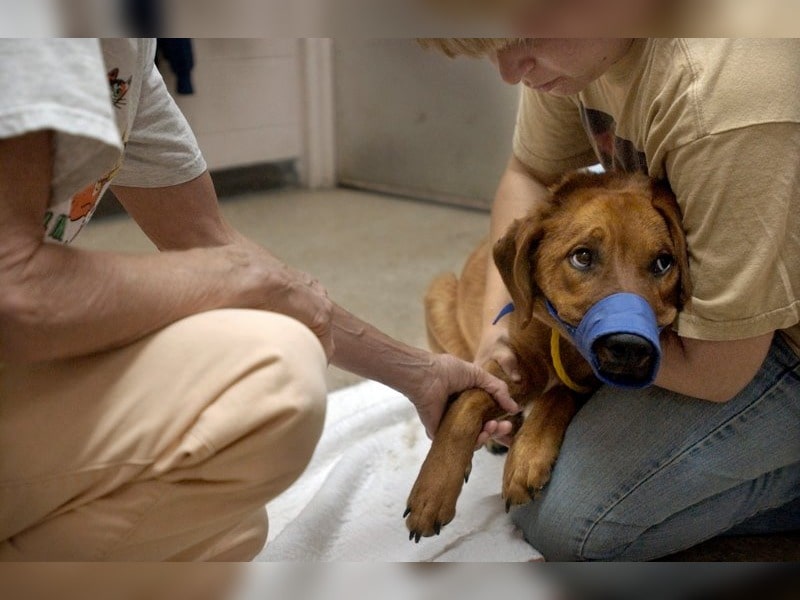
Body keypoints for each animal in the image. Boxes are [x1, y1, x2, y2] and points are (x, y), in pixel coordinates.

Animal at [404, 169, 692, 540]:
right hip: (439, 292)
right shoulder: (517, 362)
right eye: (582, 256)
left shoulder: (584, 379)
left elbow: (558, 394)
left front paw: (527, 456)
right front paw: (432, 492)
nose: (630, 346)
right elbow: (468, 401)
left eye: (663, 263)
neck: (563, 343)